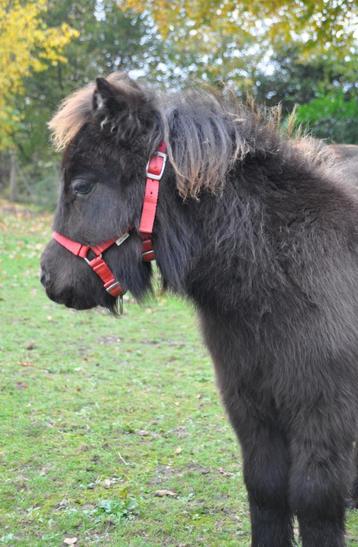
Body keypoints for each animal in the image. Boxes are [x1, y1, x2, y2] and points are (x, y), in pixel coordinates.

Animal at [39, 71, 358, 544]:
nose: (48, 278)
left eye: (82, 185)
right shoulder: (249, 405)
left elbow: (314, 500)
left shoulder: (323, 411)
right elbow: (265, 488)